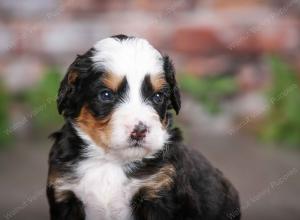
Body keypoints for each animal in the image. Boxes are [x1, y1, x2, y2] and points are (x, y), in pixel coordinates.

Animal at [47, 34, 240, 220]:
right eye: (106, 95)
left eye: (158, 96)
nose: (139, 131)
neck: (110, 162)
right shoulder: (64, 193)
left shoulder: (159, 192)